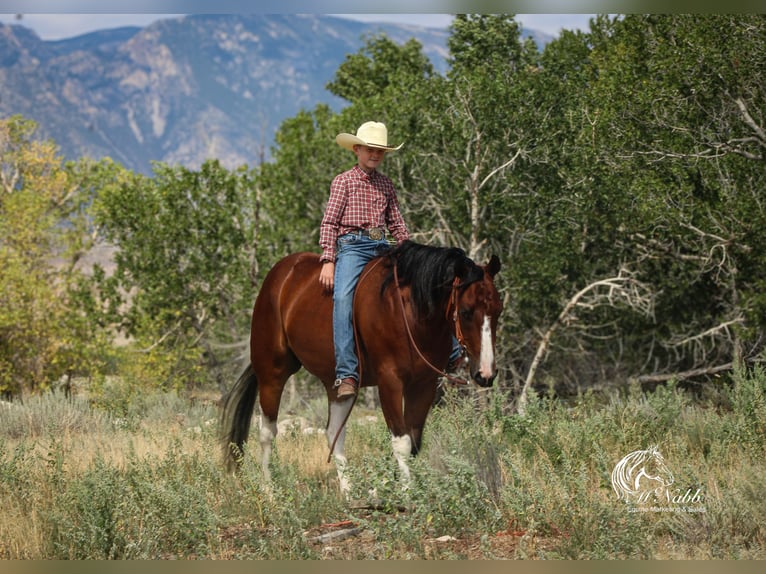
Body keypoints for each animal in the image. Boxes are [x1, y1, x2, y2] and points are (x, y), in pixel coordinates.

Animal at [220, 240, 502, 494]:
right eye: (466, 311)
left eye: (498, 311)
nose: (486, 374)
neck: (409, 313)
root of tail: (280, 275)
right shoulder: (390, 381)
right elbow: (401, 442)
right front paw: (408, 494)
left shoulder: (423, 385)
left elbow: (414, 440)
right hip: (272, 371)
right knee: (267, 431)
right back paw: (269, 490)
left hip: (336, 383)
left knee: (334, 432)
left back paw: (347, 492)